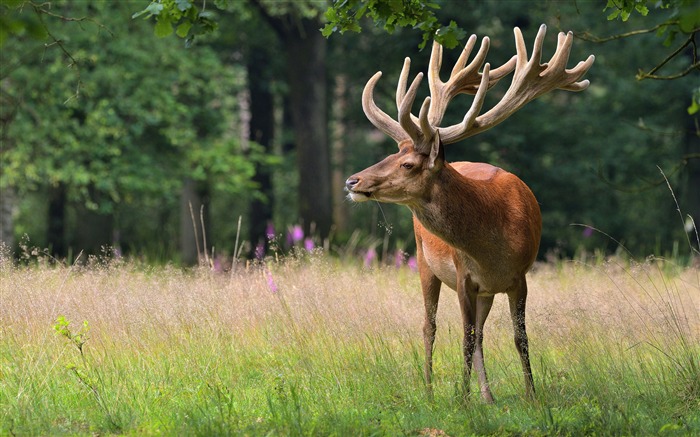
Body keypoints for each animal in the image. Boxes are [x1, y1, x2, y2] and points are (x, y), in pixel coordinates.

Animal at [348, 24, 592, 402]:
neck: (491, 246)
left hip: (485, 291)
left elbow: (519, 338)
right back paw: (430, 390)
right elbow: (464, 338)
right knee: (430, 326)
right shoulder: (464, 276)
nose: (352, 180)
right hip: (423, 260)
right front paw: (461, 401)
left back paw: (487, 396)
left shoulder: (519, 277)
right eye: (391, 153)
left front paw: (532, 396)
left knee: (478, 333)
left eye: (406, 163)